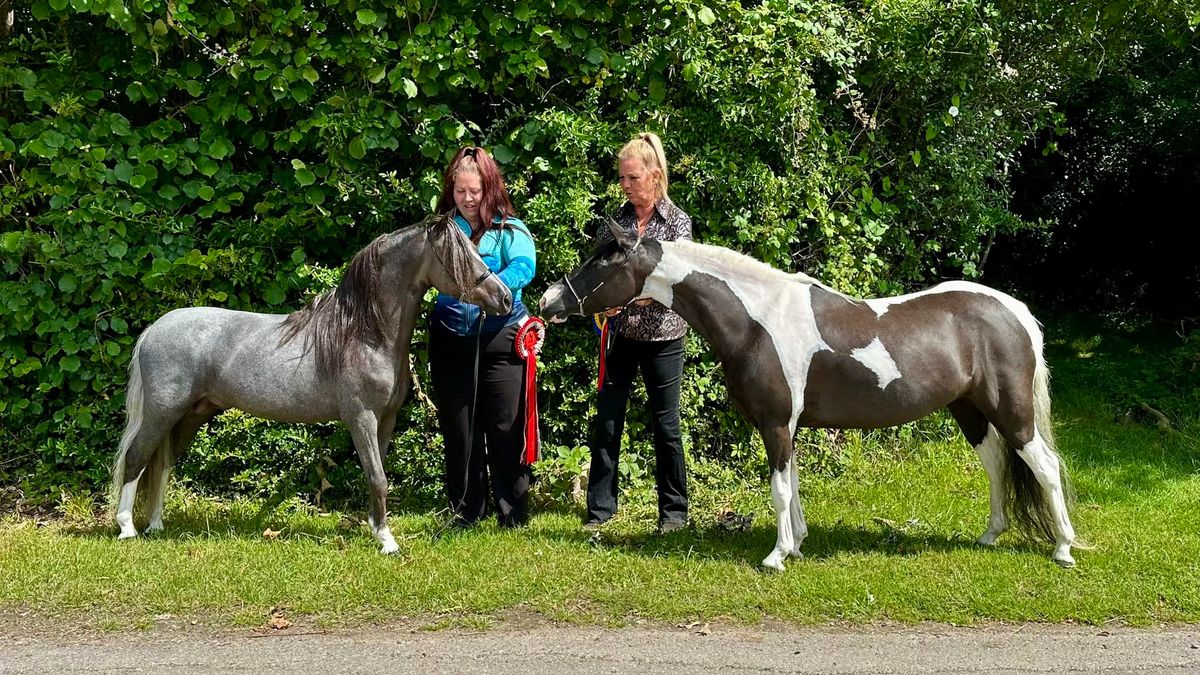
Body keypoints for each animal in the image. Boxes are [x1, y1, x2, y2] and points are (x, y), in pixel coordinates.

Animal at [110, 214, 508, 552]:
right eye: (459, 256)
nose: (503, 297)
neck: (364, 334)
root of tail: (153, 329)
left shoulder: (385, 420)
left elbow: (375, 475)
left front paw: (376, 529)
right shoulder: (361, 418)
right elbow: (378, 477)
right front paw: (388, 543)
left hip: (192, 413)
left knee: (162, 463)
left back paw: (156, 525)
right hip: (163, 410)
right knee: (137, 458)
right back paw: (127, 528)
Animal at [540, 220, 1084, 566]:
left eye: (601, 262)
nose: (548, 301)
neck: (756, 319)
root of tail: (1014, 311)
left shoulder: (776, 422)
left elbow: (779, 487)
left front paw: (777, 556)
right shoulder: (785, 425)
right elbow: (794, 484)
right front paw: (797, 543)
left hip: (1011, 411)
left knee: (1045, 466)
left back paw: (1063, 549)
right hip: (969, 410)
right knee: (995, 463)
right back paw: (990, 536)